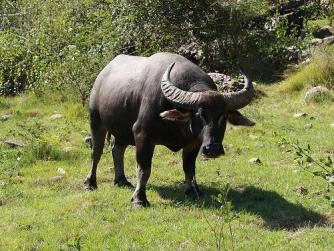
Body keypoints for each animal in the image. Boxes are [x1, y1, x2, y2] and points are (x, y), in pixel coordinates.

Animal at [85, 52, 254, 206]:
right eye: (199, 114)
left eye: (223, 116)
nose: (213, 149)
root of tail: (102, 75)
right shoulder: (142, 135)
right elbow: (144, 169)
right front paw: (139, 199)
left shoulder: (194, 143)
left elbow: (189, 167)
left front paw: (193, 191)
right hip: (96, 121)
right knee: (96, 153)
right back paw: (90, 183)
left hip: (121, 130)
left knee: (117, 149)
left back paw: (121, 180)